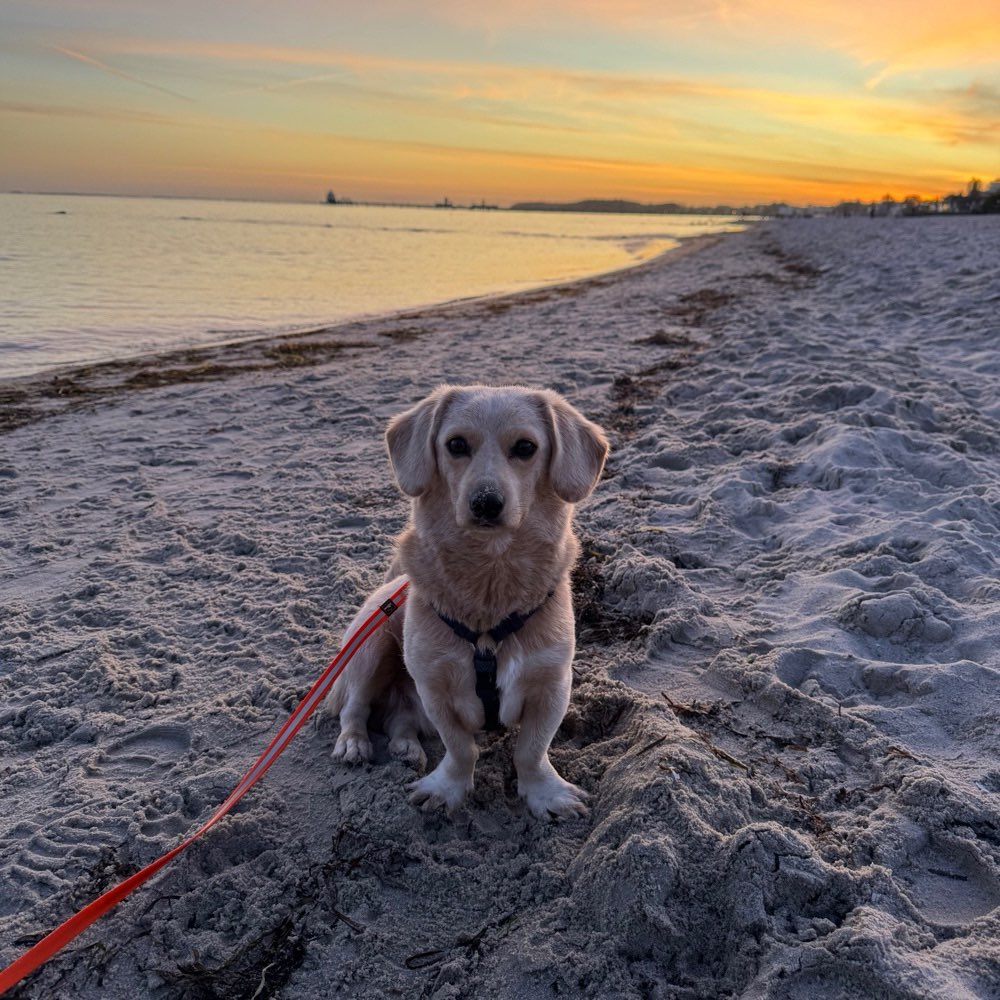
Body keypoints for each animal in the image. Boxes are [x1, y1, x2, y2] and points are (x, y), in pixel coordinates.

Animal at [320, 382, 608, 820]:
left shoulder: (553, 683)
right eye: (456, 444)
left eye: (526, 447)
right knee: (357, 706)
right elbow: (460, 749)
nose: (486, 503)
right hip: (371, 644)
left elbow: (531, 751)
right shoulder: (434, 686)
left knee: (398, 717)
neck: (490, 577)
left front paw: (545, 793)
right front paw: (447, 789)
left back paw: (406, 746)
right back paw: (354, 743)